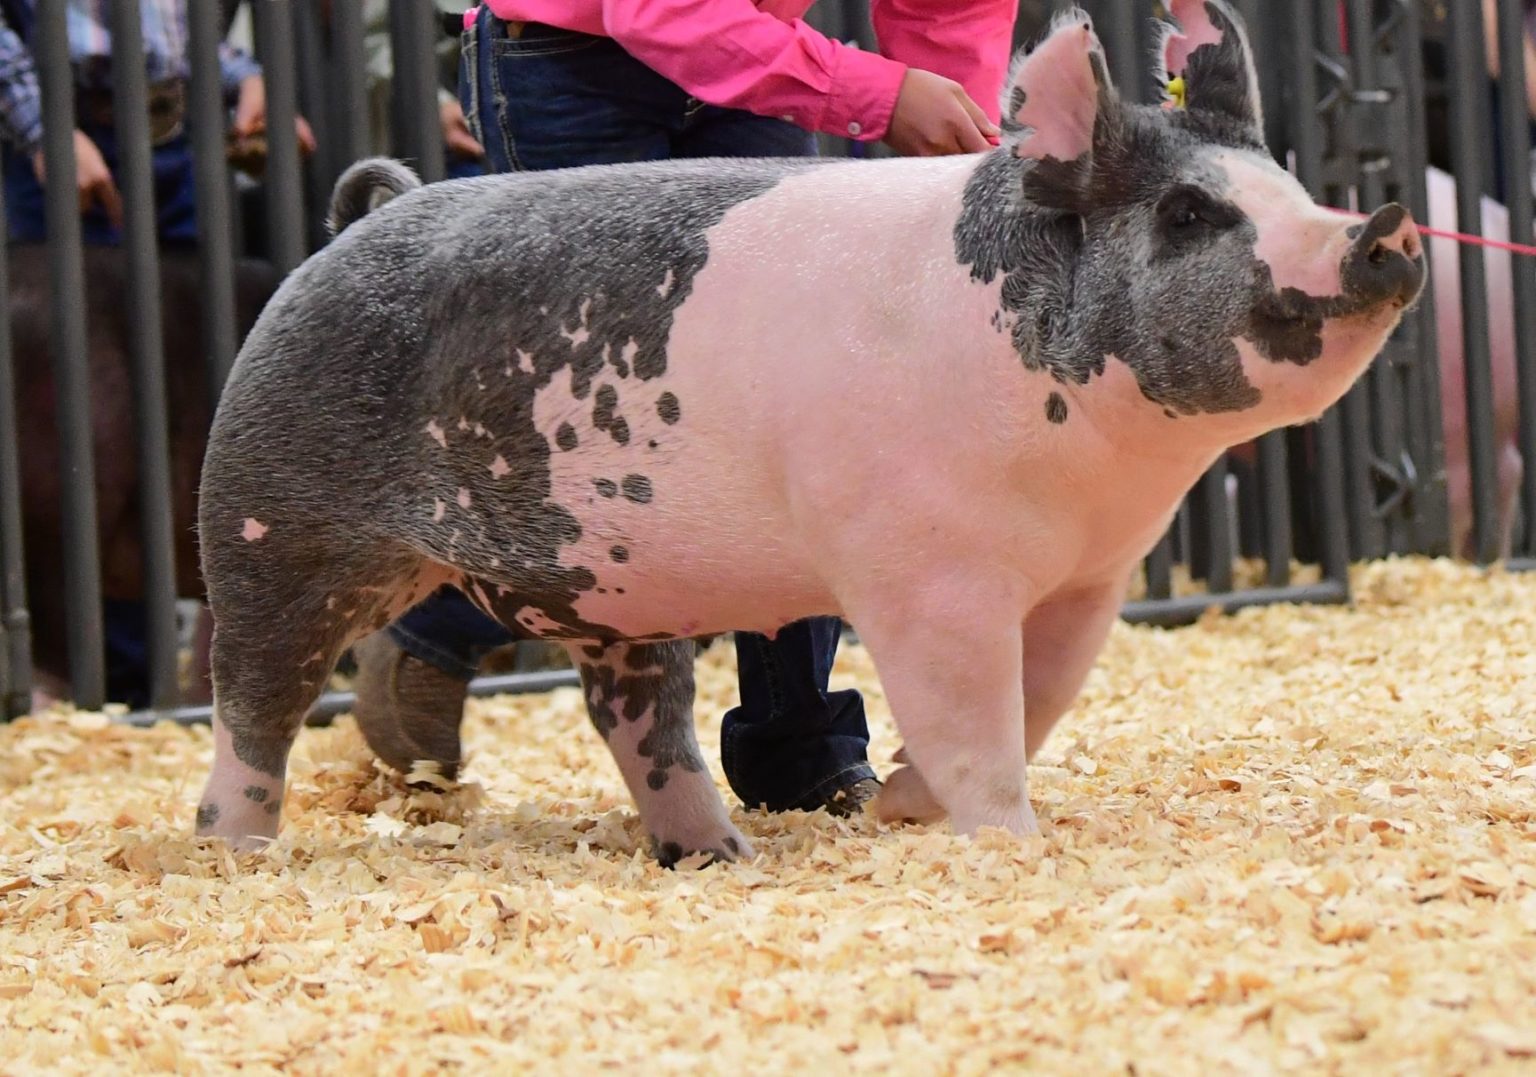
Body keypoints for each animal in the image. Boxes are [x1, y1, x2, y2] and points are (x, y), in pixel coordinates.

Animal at [192, 0, 1425, 860]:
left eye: (1284, 180)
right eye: (1187, 212)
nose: (1384, 229)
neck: (1094, 473)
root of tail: (358, 222)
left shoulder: (1088, 581)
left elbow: (1040, 701)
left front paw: (896, 807)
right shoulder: (926, 576)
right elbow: (976, 719)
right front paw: (1005, 842)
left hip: (609, 586)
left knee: (637, 716)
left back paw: (721, 853)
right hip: (269, 523)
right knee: (251, 699)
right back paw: (240, 852)